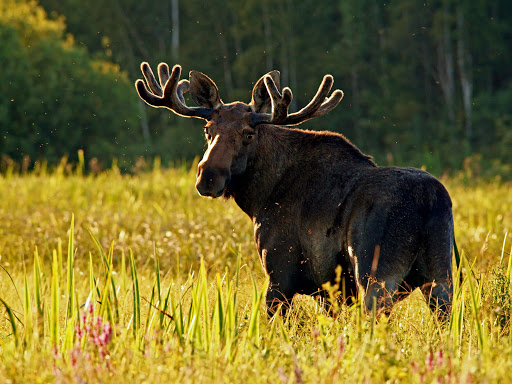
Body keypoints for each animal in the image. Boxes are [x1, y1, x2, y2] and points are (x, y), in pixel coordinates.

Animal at [135, 63, 452, 320]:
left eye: (248, 134)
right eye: (207, 129)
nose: (209, 177)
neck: (259, 197)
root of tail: (428, 201)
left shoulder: (279, 274)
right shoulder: (329, 291)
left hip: (376, 275)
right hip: (442, 276)